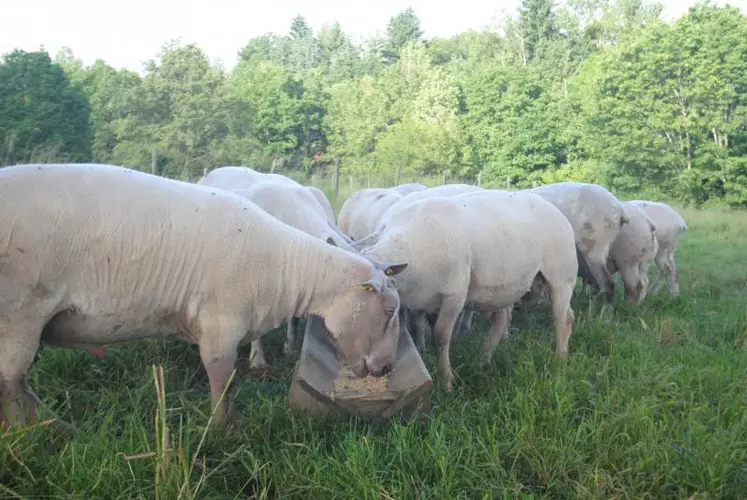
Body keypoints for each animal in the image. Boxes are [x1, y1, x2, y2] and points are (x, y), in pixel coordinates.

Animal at [1, 164, 410, 430]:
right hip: (21, 312)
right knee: (12, 380)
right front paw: (222, 428)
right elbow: (221, 375)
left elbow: (228, 378)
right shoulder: (220, 323)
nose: (387, 367)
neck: (287, 264)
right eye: (390, 309)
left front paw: (229, 421)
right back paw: (52, 429)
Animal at [356, 189, 580, 392]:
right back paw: (483, 361)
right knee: (501, 322)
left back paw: (560, 360)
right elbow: (418, 327)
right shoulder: (417, 301)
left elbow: (441, 335)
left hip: (562, 277)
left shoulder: (454, 295)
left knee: (564, 319)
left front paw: (446, 380)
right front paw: (421, 353)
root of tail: (553, 208)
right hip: (505, 286)